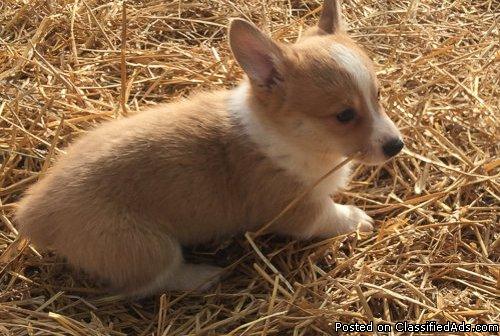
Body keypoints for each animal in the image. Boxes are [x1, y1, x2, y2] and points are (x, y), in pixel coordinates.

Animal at [15, 1, 404, 298]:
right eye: (344, 115)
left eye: (378, 95)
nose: (397, 146)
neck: (288, 135)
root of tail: (33, 213)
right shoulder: (296, 209)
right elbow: (332, 216)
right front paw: (359, 219)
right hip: (147, 247)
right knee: (149, 283)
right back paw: (202, 275)